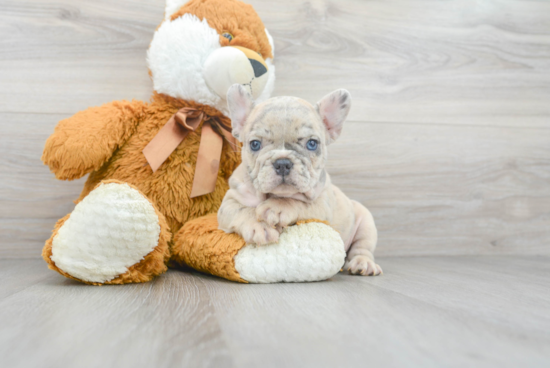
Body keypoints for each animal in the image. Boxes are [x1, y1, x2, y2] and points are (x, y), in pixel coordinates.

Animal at [218, 85, 382, 276]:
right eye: (255, 144)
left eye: (312, 143)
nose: (282, 163)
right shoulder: (228, 202)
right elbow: (241, 210)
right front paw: (260, 226)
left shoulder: (322, 205)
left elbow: (299, 202)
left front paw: (277, 206)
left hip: (366, 222)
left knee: (362, 247)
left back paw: (363, 263)